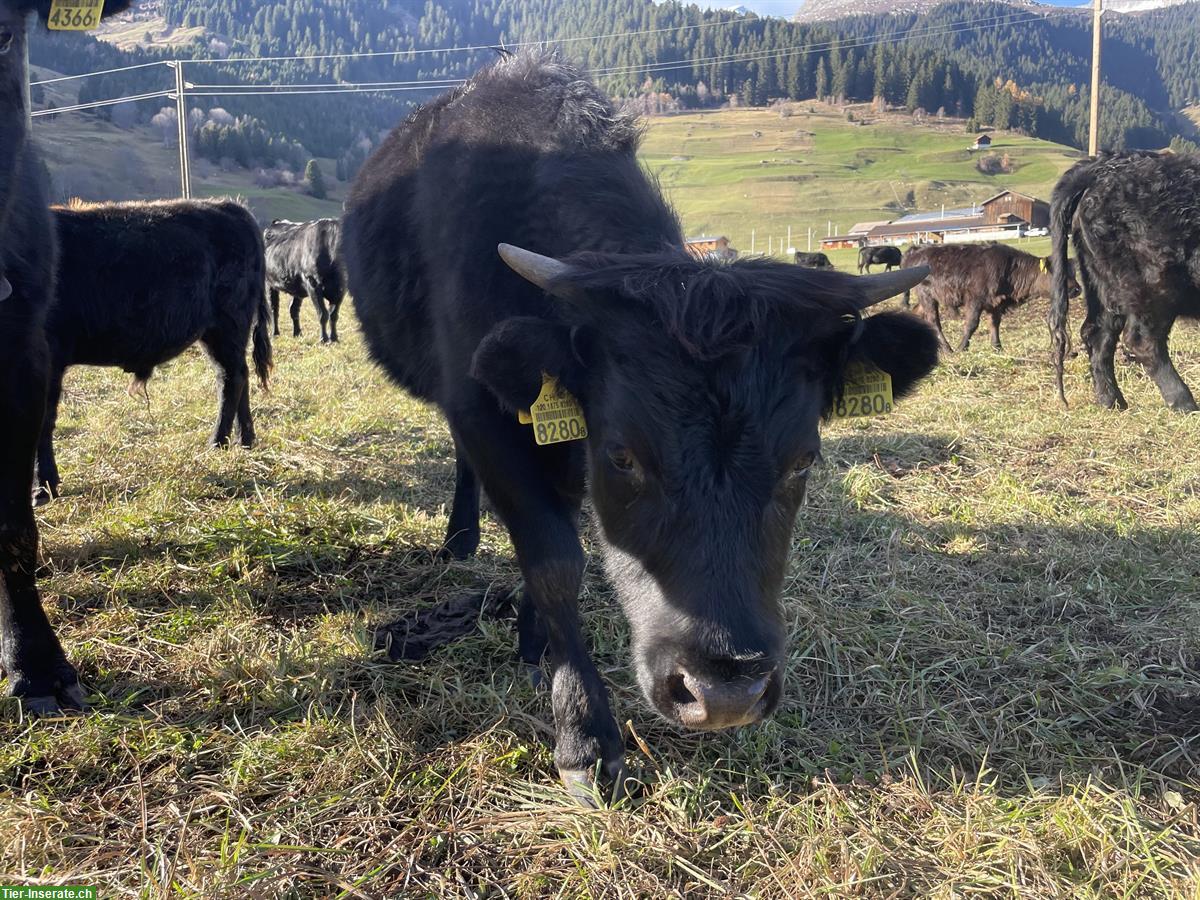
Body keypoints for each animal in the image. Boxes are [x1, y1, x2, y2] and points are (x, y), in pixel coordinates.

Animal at [35, 199, 272, 506]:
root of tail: (230, 206)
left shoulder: (49, 356)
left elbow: (43, 422)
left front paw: (44, 488)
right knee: (239, 376)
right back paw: (245, 440)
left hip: (227, 326)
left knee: (232, 379)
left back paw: (217, 443)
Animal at [342, 51, 937, 804]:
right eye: (624, 456)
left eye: (803, 459)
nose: (724, 692)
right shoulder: (484, 414)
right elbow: (554, 560)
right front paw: (583, 737)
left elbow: (559, 537)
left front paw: (538, 648)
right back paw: (460, 537)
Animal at [903, 242, 1079, 353]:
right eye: (1060, 274)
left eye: (1074, 272)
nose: (1077, 289)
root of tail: (916, 250)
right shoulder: (975, 299)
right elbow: (972, 324)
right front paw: (962, 348)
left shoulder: (995, 304)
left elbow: (994, 324)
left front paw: (997, 347)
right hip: (927, 296)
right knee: (934, 322)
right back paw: (948, 349)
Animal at [1050, 152, 1200, 412]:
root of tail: (1105, 164)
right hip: (1154, 284)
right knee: (1143, 340)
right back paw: (1184, 403)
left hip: (1105, 285)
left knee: (1096, 333)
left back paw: (1112, 401)